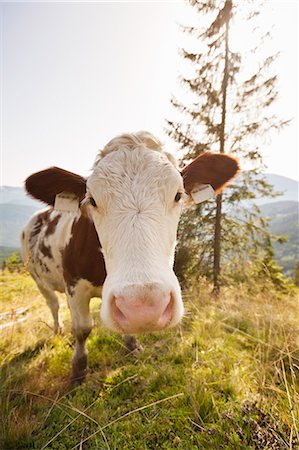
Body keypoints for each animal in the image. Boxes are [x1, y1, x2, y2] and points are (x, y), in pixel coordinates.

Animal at [21, 132, 240, 382]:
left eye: (178, 195)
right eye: (92, 200)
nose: (142, 308)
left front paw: (132, 345)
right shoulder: (74, 284)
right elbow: (82, 328)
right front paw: (78, 368)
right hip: (37, 278)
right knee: (53, 304)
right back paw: (57, 330)